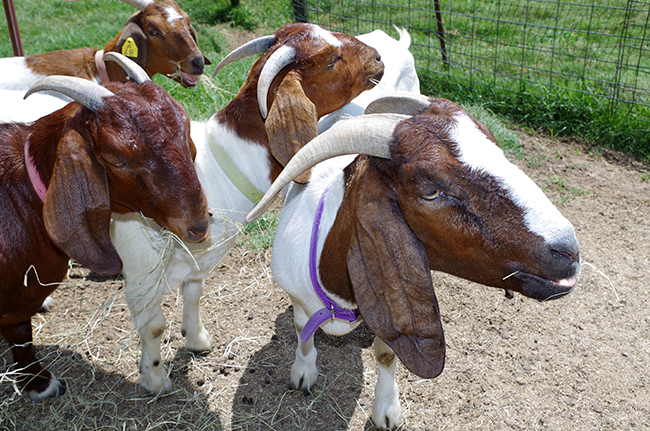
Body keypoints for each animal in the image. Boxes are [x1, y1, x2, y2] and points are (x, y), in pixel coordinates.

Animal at [0, 53, 208, 402]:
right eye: (117, 160)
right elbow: (19, 330)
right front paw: (40, 383)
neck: (21, 192)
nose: (198, 226)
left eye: (185, 131)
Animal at [106, 23, 382, 394]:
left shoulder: (196, 260)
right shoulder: (141, 271)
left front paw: (196, 340)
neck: (212, 166)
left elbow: (193, 293)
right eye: (330, 60)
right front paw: (155, 380)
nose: (377, 57)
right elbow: (153, 326)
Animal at [246, 93, 580, 430]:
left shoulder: (384, 308)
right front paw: (303, 374)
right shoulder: (301, 299)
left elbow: (387, 353)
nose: (568, 251)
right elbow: (302, 330)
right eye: (431, 191)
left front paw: (386, 411)